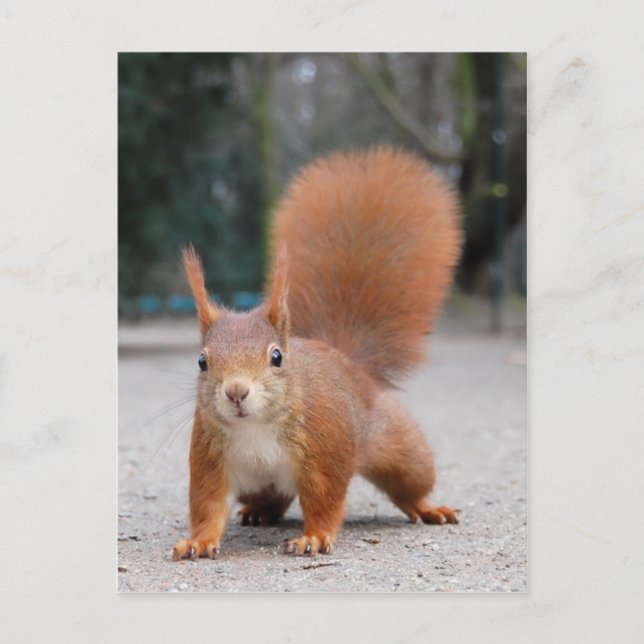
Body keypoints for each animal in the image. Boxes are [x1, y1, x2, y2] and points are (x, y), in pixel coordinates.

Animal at [172, 147, 463, 560]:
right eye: (202, 361)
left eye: (277, 357)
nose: (236, 392)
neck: (255, 427)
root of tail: (345, 359)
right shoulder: (210, 460)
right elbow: (208, 506)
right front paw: (197, 541)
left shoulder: (325, 451)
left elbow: (324, 500)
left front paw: (314, 537)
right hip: (258, 483)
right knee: (272, 498)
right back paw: (259, 512)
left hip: (401, 448)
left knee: (410, 485)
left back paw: (428, 508)